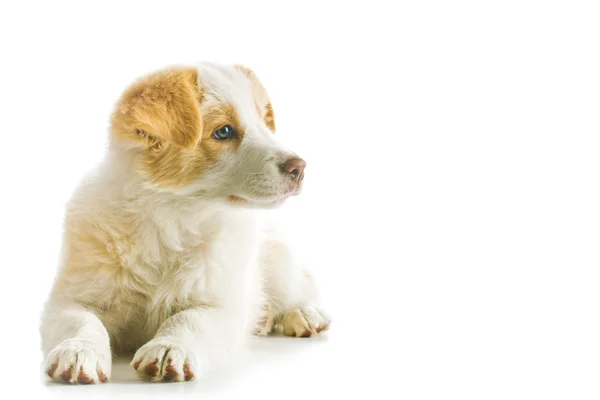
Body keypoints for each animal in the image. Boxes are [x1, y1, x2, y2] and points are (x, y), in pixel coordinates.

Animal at [39, 63, 330, 384]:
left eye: (263, 122)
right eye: (224, 131)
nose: (299, 168)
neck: (169, 220)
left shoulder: (220, 304)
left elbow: (187, 318)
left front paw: (169, 347)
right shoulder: (72, 298)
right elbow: (82, 322)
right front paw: (79, 351)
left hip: (278, 256)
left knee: (300, 283)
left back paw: (303, 313)